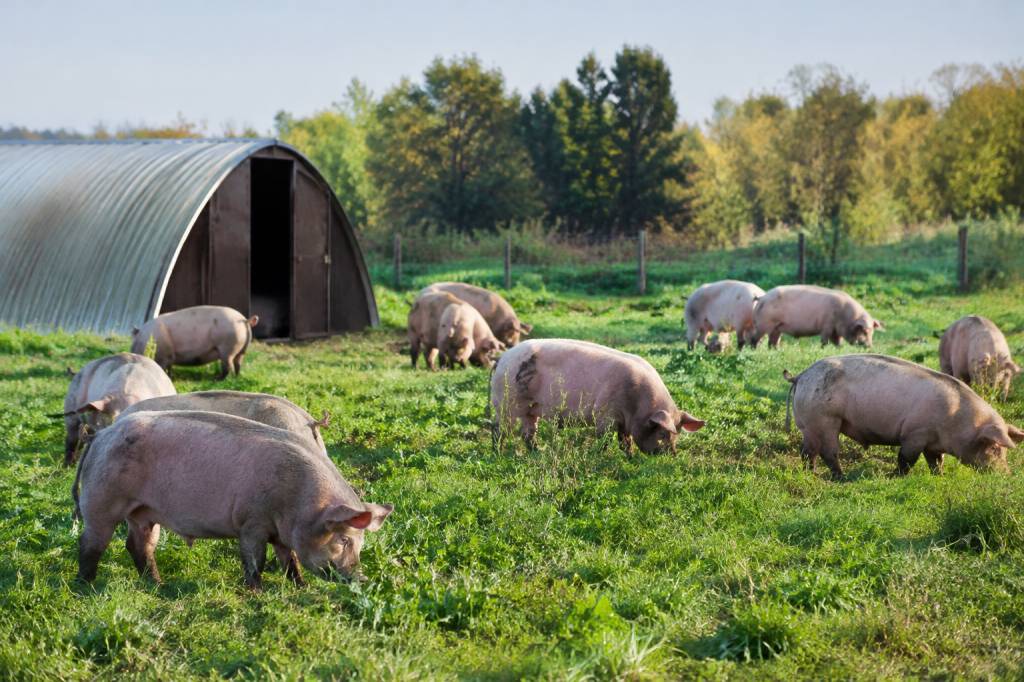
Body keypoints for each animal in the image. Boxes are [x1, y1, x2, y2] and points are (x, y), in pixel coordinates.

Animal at [73, 410, 392, 589]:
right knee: (91, 542)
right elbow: (255, 559)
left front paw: (300, 587)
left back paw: (157, 584)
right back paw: (86, 586)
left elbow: (289, 559)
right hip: (101, 501)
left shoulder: (280, 533)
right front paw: (257, 591)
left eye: (360, 542)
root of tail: (100, 435)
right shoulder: (251, 522)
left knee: (137, 544)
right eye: (344, 539)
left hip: (143, 512)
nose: (362, 579)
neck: (300, 502)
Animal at [130, 305, 259, 380]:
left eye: (135, 343)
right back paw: (236, 377)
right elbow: (169, 368)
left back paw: (218, 379)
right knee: (238, 364)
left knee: (228, 366)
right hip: (241, 350)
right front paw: (170, 377)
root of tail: (244, 320)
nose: (131, 353)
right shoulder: (169, 357)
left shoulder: (164, 355)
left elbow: (163, 368)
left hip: (227, 348)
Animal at [491, 339, 705, 454]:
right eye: (662, 433)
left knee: (527, 433)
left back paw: (538, 452)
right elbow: (605, 440)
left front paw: (631, 458)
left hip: (530, 409)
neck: (638, 404)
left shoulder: (623, 422)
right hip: (507, 403)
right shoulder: (605, 414)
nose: (671, 455)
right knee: (499, 430)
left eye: (677, 433)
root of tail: (502, 358)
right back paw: (498, 454)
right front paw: (600, 455)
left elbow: (625, 442)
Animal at [753, 285, 883, 349]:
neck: (845, 316)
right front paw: (823, 349)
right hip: (764, 324)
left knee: (772, 342)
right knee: (755, 338)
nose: (869, 347)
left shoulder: (835, 331)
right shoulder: (827, 325)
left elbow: (838, 342)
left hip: (777, 327)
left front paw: (839, 349)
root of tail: (762, 298)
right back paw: (754, 349)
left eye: (872, 332)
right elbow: (825, 340)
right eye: (864, 331)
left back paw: (776, 351)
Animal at [784, 354, 1024, 479]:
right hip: (825, 420)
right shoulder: (915, 433)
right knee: (828, 452)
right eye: (995, 448)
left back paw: (811, 473)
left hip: (809, 426)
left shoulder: (933, 443)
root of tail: (800, 376)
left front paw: (940, 477)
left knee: (807, 452)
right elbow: (906, 458)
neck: (957, 420)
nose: (1007, 474)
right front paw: (895, 476)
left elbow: (937, 461)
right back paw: (841, 478)